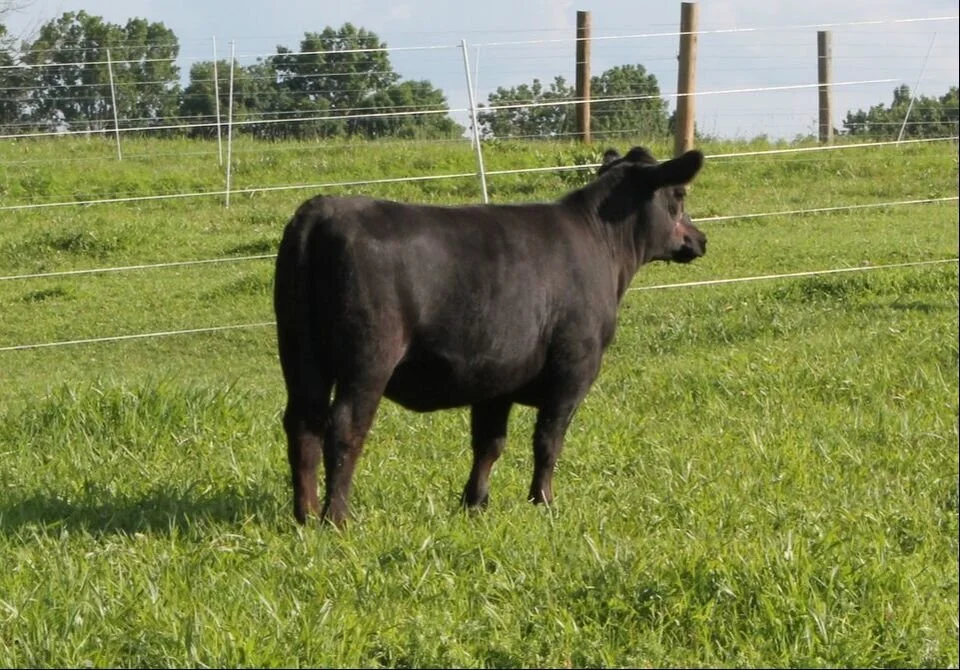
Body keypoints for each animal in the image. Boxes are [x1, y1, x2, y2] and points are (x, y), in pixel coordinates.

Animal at [273, 146, 707, 527]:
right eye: (680, 194)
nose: (700, 238)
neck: (602, 244)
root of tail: (320, 210)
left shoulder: (497, 375)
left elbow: (489, 443)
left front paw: (475, 503)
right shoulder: (573, 370)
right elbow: (548, 441)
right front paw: (543, 501)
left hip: (299, 354)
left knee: (303, 424)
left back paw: (305, 514)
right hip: (368, 359)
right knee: (344, 427)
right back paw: (337, 518)